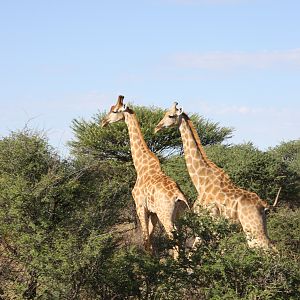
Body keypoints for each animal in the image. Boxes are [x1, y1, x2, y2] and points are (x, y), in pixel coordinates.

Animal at [101, 95, 190, 255]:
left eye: (115, 111)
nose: (103, 122)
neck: (141, 167)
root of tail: (179, 196)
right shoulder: (152, 212)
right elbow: (150, 239)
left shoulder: (140, 206)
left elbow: (145, 240)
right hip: (179, 216)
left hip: (165, 215)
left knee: (174, 240)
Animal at [156, 102, 278, 250]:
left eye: (170, 115)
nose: (157, 127)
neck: (200, 181)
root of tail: (263, 205)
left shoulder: (210, 220)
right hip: (260, 225)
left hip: (251, 227)